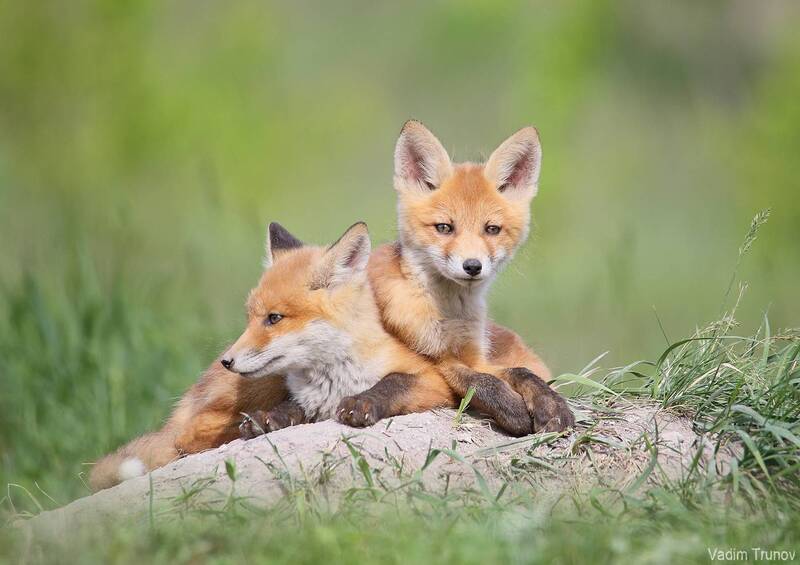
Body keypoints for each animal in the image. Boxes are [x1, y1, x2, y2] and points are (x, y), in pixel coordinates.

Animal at [337, 121, 574, 434]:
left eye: (492, 229)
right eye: (444, 227)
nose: (472, 266)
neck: (450, 318)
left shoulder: (477, 356)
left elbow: (520, 372)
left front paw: (551, 405)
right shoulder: (433, 360)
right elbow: (472, 378)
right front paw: (513, 409)